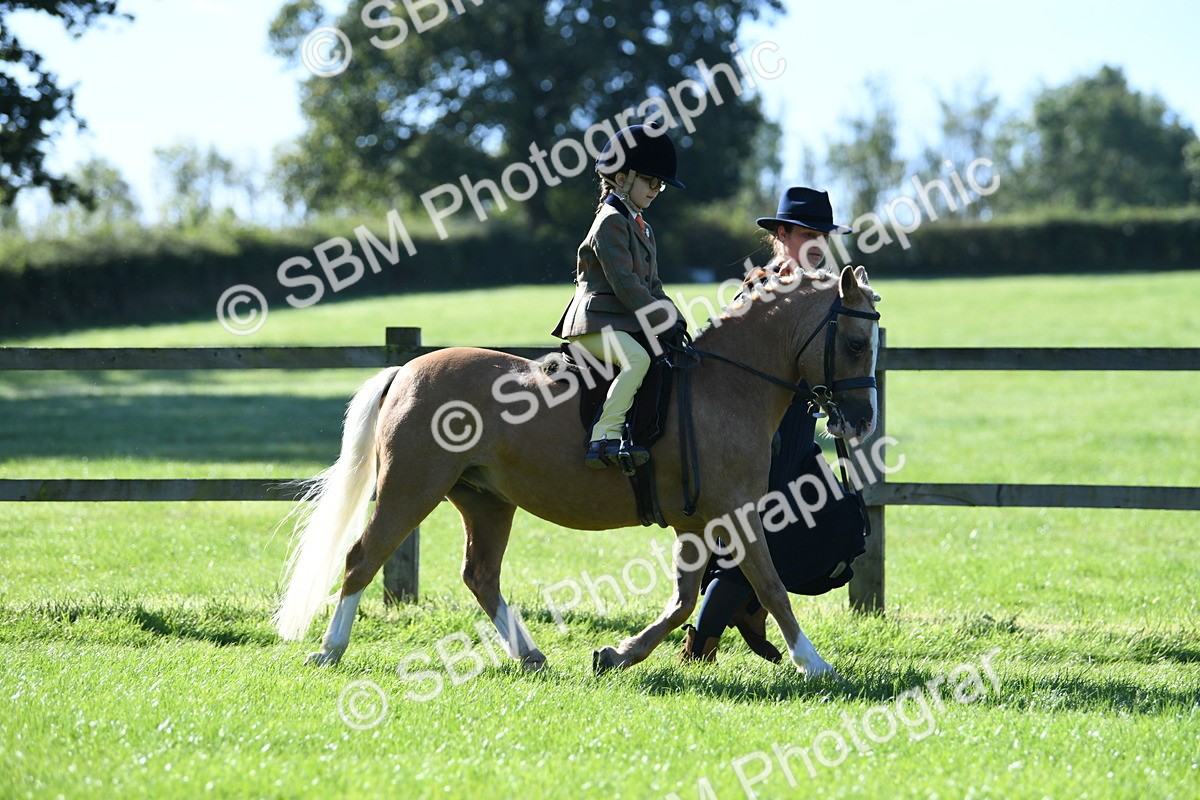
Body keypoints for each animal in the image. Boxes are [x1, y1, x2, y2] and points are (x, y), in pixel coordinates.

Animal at [273, 264, 880, 678]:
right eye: (855, 343)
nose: (861, 419)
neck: (729, 384)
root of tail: (406, 370)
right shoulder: (736, 514)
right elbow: (771, 586)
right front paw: (815, 664)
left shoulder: (698, 524)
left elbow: (685, 599)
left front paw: (619, 654)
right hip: (411, 488)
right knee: (363, 557)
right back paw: (330, 650)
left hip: (485, 500)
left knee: (480, 575)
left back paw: (530, 655)